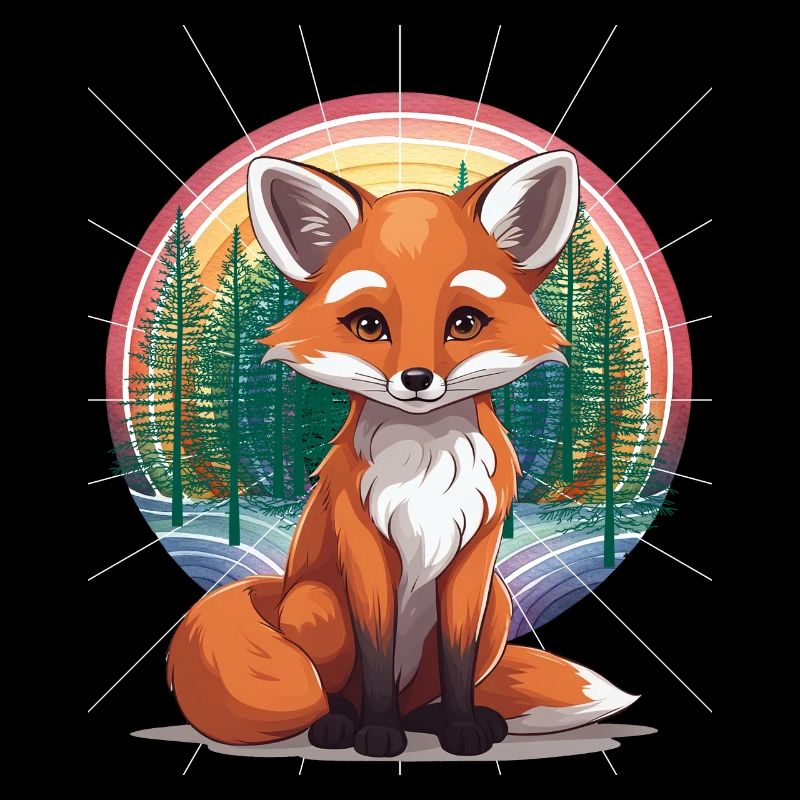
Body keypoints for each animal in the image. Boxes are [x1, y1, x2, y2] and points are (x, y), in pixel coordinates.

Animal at [167, 151, 637, 757]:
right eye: (369, 325)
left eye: (464, 323)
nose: (416, 380)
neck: (427, 468)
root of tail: (278, 591)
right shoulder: (365, 549)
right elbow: (376, 651)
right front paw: (377, 732)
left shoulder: (474, 559)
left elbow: (458, 660)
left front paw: (461, 727)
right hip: (317, 607)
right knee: (340, 688)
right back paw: (341, 723)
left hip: (498, 605)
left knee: (425, 696)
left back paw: (439, 721)